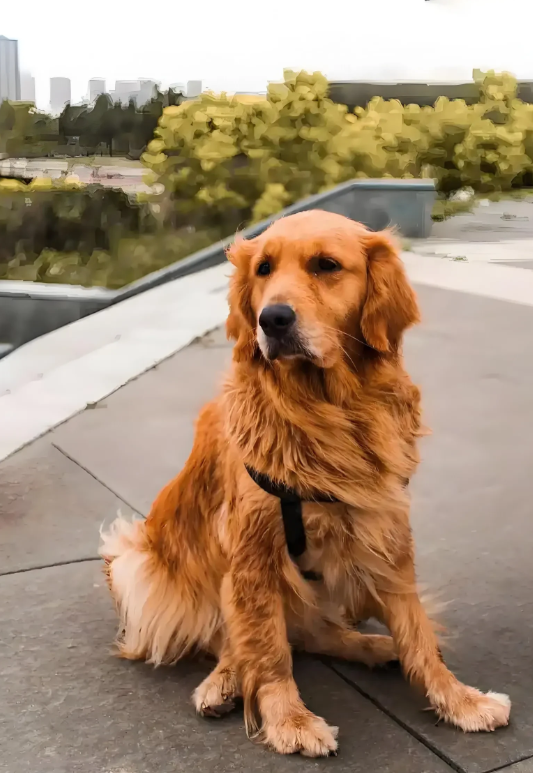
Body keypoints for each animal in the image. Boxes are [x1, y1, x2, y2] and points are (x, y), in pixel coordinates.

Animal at [97, 210, 510, 752]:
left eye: (326, 266)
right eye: (264, 269)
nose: (271, 319)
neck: (324, 409)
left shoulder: (386, 532)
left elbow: (417, 633)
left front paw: (458, 700)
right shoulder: (252, 556)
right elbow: (268, 650)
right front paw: (288, 721)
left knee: (317, 632)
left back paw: (373, 646)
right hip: (132, 559)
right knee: (236, 638)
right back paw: (222, 682)